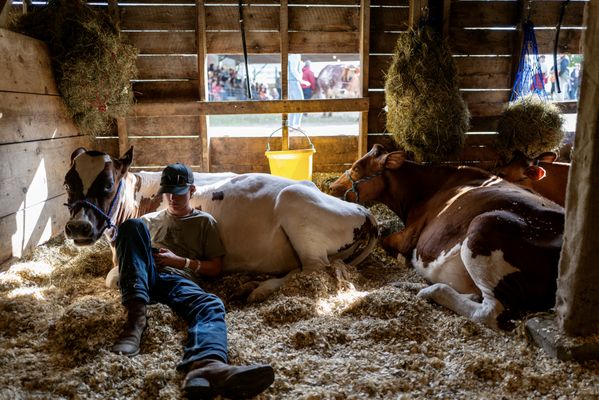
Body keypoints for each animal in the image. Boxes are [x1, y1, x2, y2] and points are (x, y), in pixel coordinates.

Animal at [63, 148, 378, 302]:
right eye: (67, 183)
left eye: (107, 184)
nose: (78, 226)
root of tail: (362, 209)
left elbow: (112, 278)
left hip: (295, 203)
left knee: (315, 269)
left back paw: (258, 289)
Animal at [330, 145, 564, 330]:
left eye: (356, 168)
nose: (332, 187)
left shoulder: (410, 235)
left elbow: (385, 239)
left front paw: (403, 260)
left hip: (484, 227)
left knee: (489, 311)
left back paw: (429, 291)